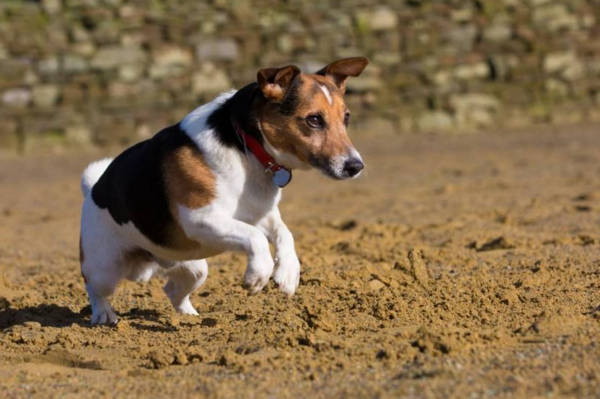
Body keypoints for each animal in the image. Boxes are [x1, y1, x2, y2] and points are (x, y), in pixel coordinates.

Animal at [77, 57, 368, 324]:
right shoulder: (200, 219)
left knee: (172, 290)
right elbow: (255, 238)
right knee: (95, 289)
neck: (246, 146)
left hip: (194, 268)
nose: (356, 166)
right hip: (105, 267)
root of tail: (94, 188)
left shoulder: (260, 214)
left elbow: (285, 233)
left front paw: (288, 273)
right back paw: (103, 315)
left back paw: (189, 318)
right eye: (314, 120)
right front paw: (257, 275)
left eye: (347, 118)